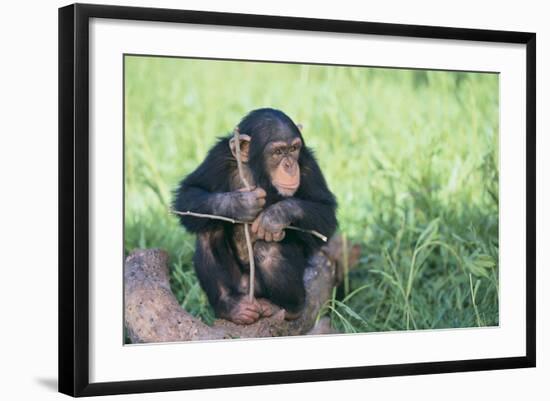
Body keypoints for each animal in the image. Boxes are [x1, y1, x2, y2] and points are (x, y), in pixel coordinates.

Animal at [174, 108, 336, 324]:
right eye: (278, 152)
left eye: (294, 148)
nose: (290, 165)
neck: (257, 173)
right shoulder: (218, 157)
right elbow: (189, 192)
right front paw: (240, 204)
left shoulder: (307, 162)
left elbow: (326, 213)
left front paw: (275, 216)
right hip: (239, 286)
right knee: (209, 230)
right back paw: (229, 305)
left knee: (268, 250)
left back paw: (288, 307)